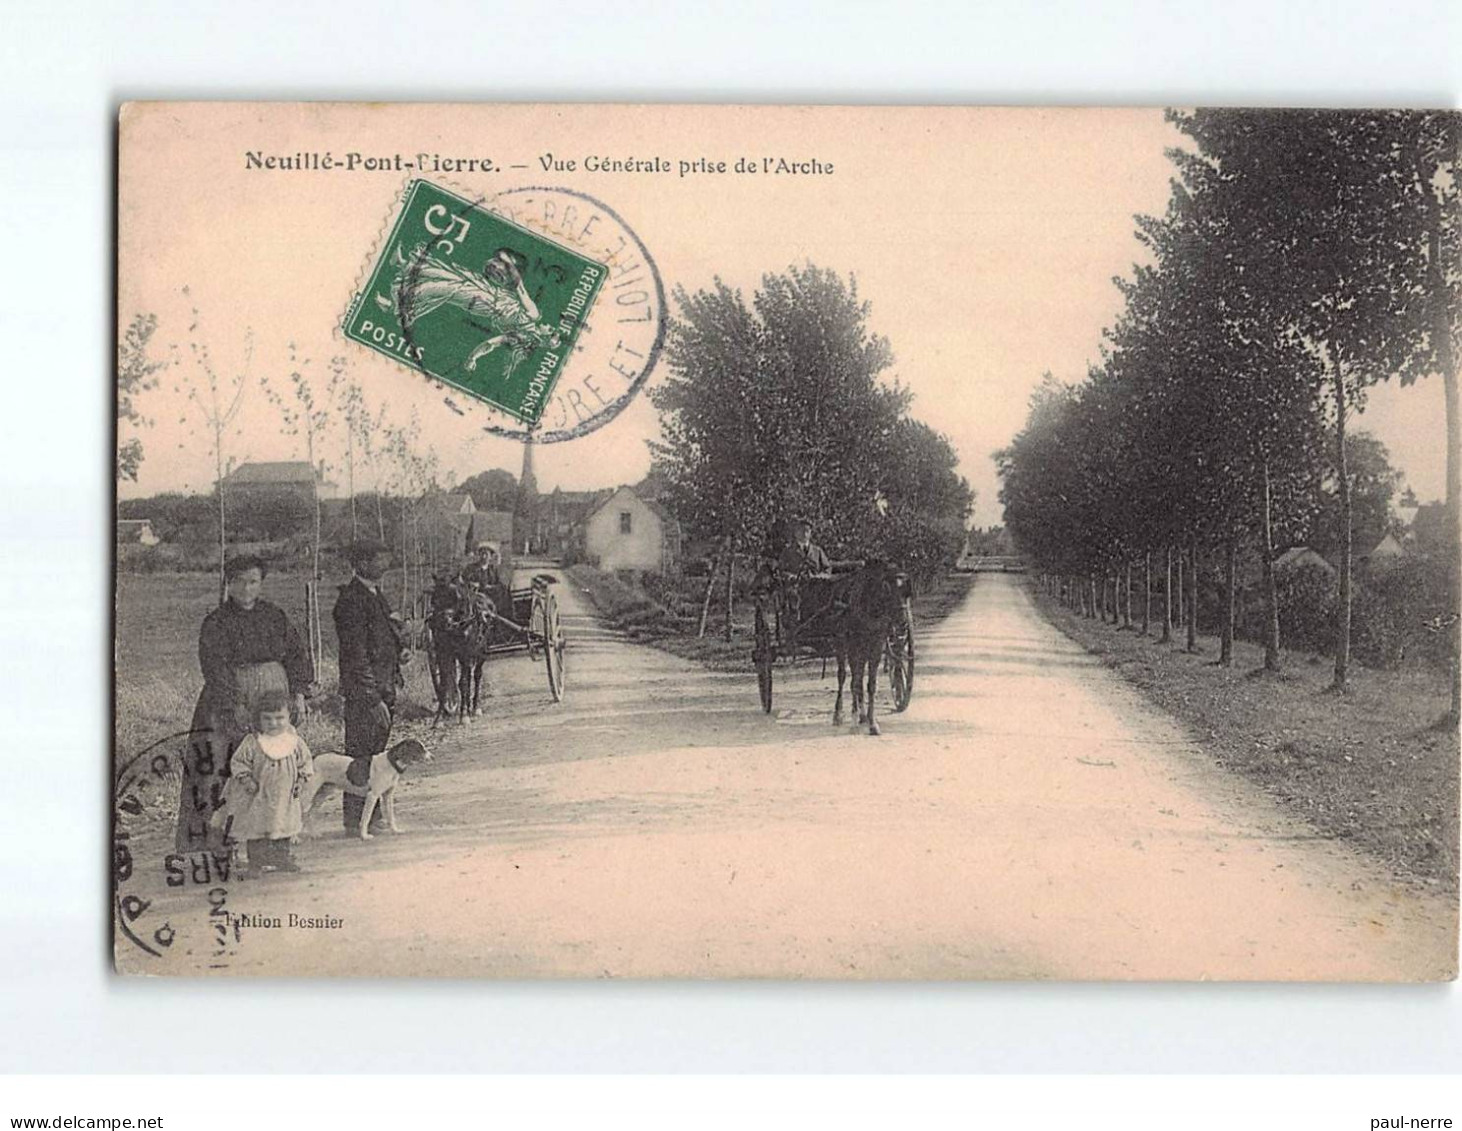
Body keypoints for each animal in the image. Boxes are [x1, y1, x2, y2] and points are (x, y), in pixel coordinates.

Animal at [426, 581, 494, 730]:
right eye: (434, 600)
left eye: (457, 598)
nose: (442, 622)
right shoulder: (443, 653)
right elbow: (444, 685)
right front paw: (439, 719)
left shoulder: (466, 653)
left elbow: (463, 683)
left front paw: (464, 716)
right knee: (467, 678)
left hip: (482, 652)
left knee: (476, 675)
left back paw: (475, 708)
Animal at [830, 561, 906, 739]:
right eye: (889, 591)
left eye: (905, 592)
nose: (903, 621)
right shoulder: (854, 647)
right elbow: (854, 683)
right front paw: (853, 723)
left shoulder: (876, 647)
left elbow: (870, 685)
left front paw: (872, 723)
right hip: (841, 644)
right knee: (843, 676)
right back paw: (838, 714)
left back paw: (863, 715)